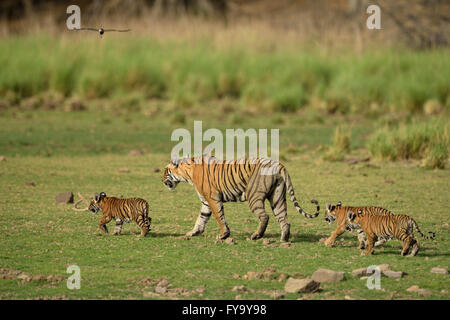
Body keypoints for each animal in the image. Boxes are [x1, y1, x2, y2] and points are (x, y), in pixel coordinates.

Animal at [162, 154, 320, 241]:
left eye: (165, 171)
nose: (161, 179)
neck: (187, 174)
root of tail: (278, 164)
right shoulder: (206, 202)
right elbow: (201, 218)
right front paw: (193, 233)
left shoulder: (213, 198)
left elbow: (219, 217)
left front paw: (224, 235)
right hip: (277, 197)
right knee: (284, 219)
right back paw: (283, 240)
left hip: (254, 197)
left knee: (265, 216)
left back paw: (256, 236)